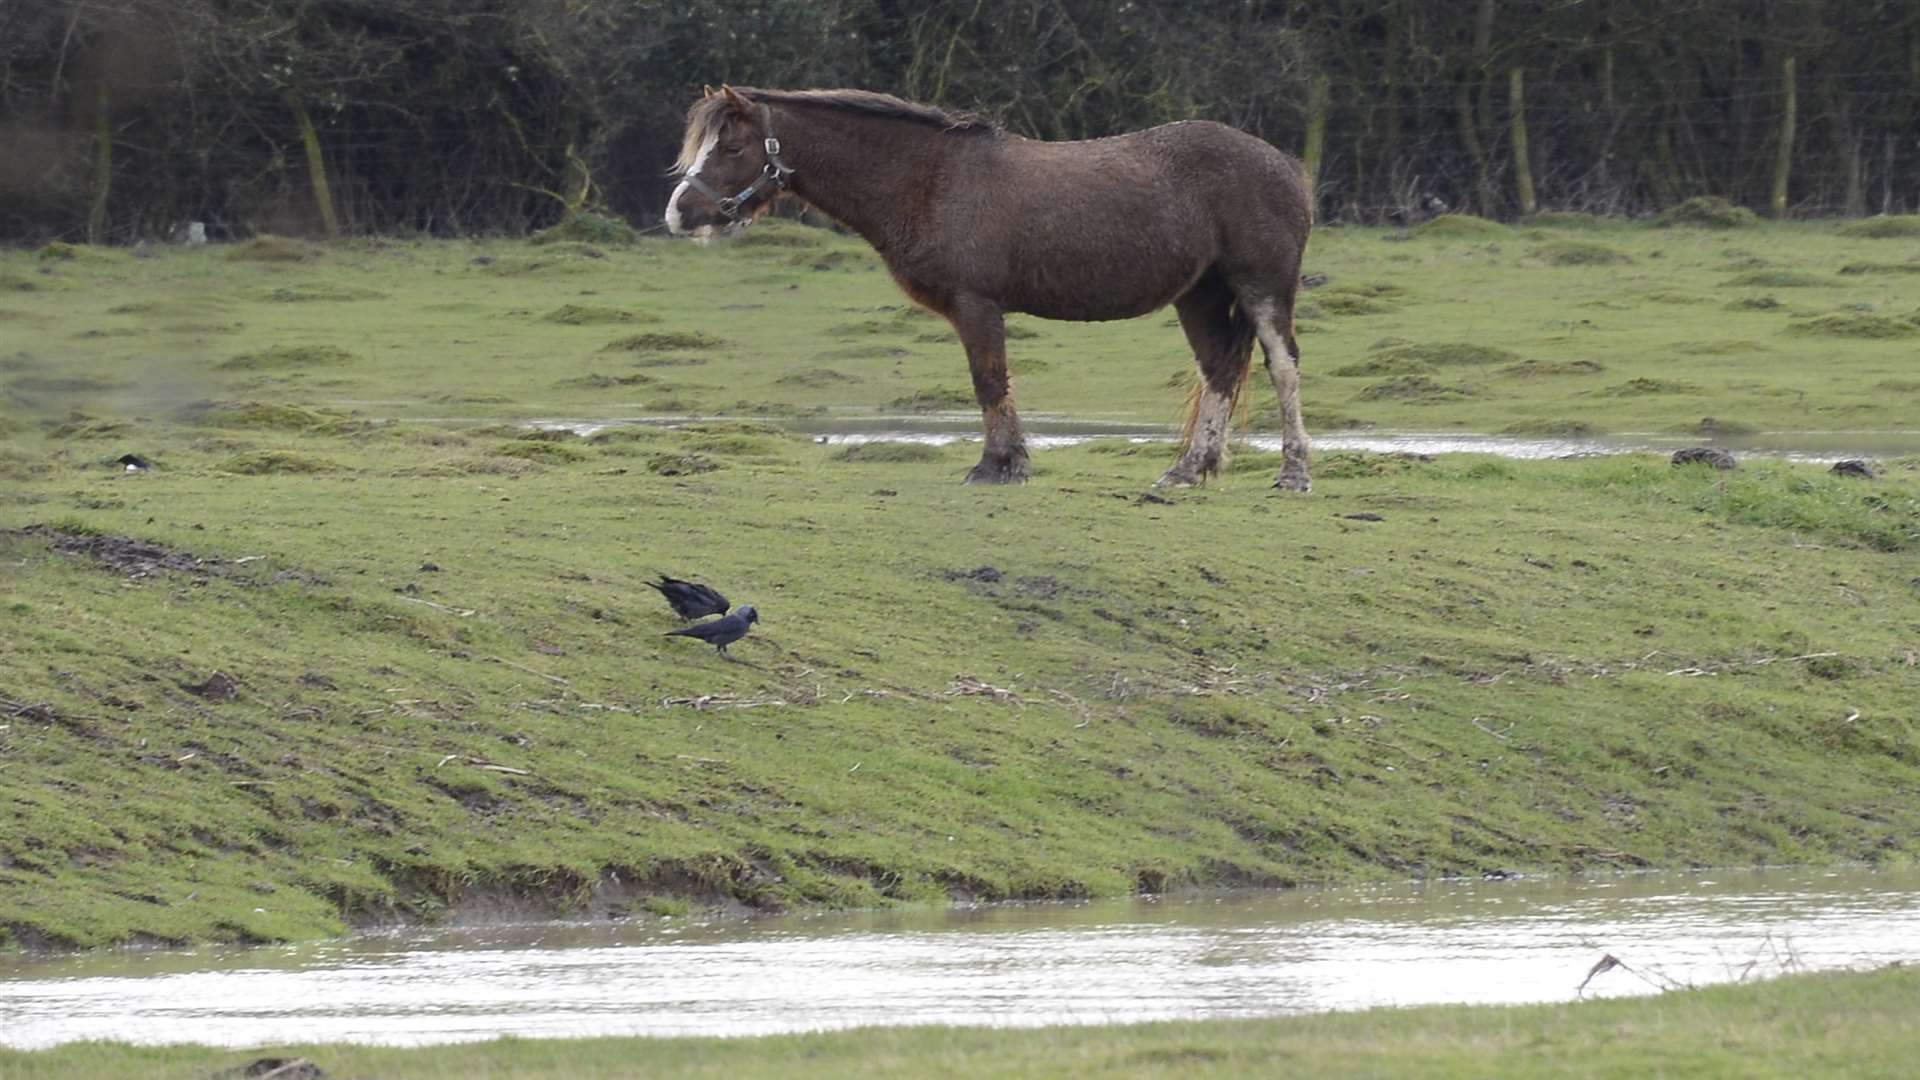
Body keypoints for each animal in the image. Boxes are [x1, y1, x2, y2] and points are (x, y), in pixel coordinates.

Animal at [668, 85, 1313, 490]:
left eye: (732, 146)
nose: (679, 214)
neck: (929, 179)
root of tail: (1287, 165)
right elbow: (991, 383)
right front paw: (1009, 463)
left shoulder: (977, 303)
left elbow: (989, 381)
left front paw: (998, 466)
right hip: (1199, 295)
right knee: (1219, 370)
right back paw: (1187, 470)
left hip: (1262, 285)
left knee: (1282, 366)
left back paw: (1293, 473)